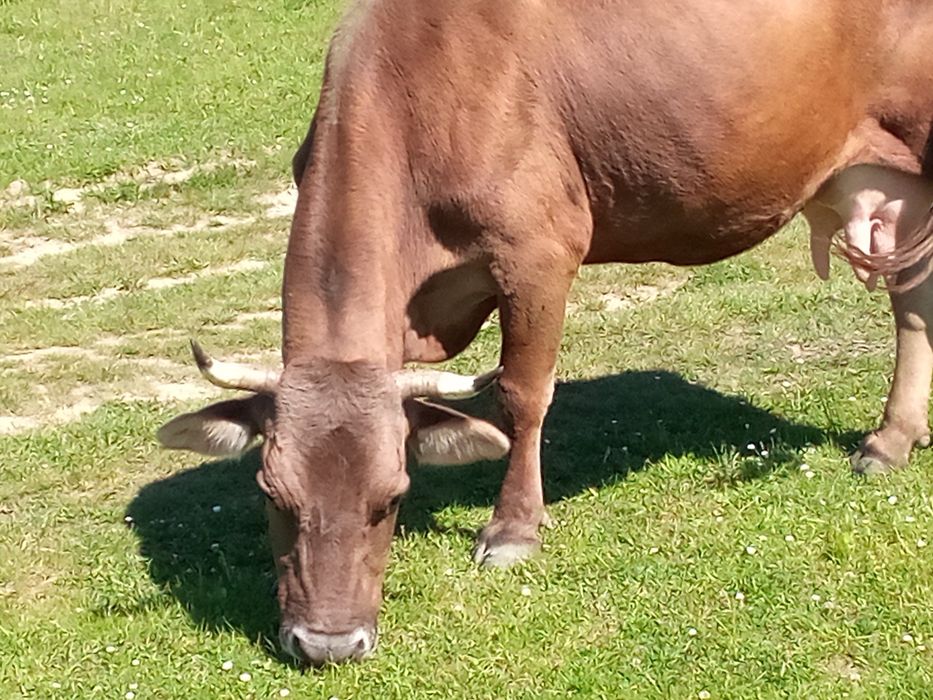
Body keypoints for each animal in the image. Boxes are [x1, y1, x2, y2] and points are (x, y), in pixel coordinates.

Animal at [157, 0, 933, 665]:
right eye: (271, 495)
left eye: (392, 498)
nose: (326, 644)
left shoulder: (537, 250)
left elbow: (522, 395)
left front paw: (512, 529)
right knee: (913, 301)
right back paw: (893, 438)